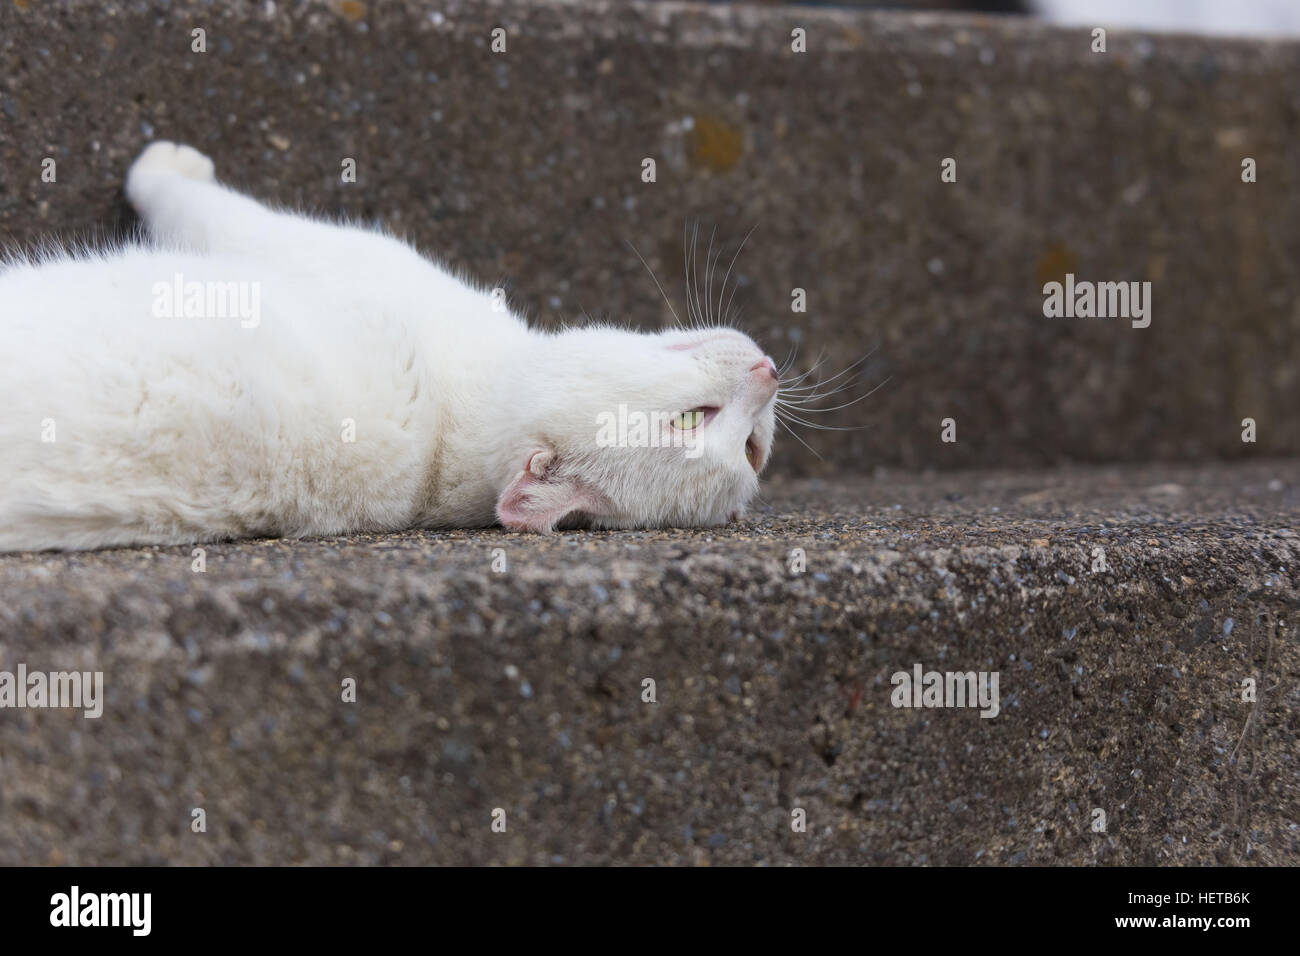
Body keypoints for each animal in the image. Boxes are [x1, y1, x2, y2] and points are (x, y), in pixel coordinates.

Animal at [0, 138, 774, 548]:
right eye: (697, 419)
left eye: (745, 449)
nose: (768, 372)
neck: (443, 455)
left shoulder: (312, 250)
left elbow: (205, 205)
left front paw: (166, 164)